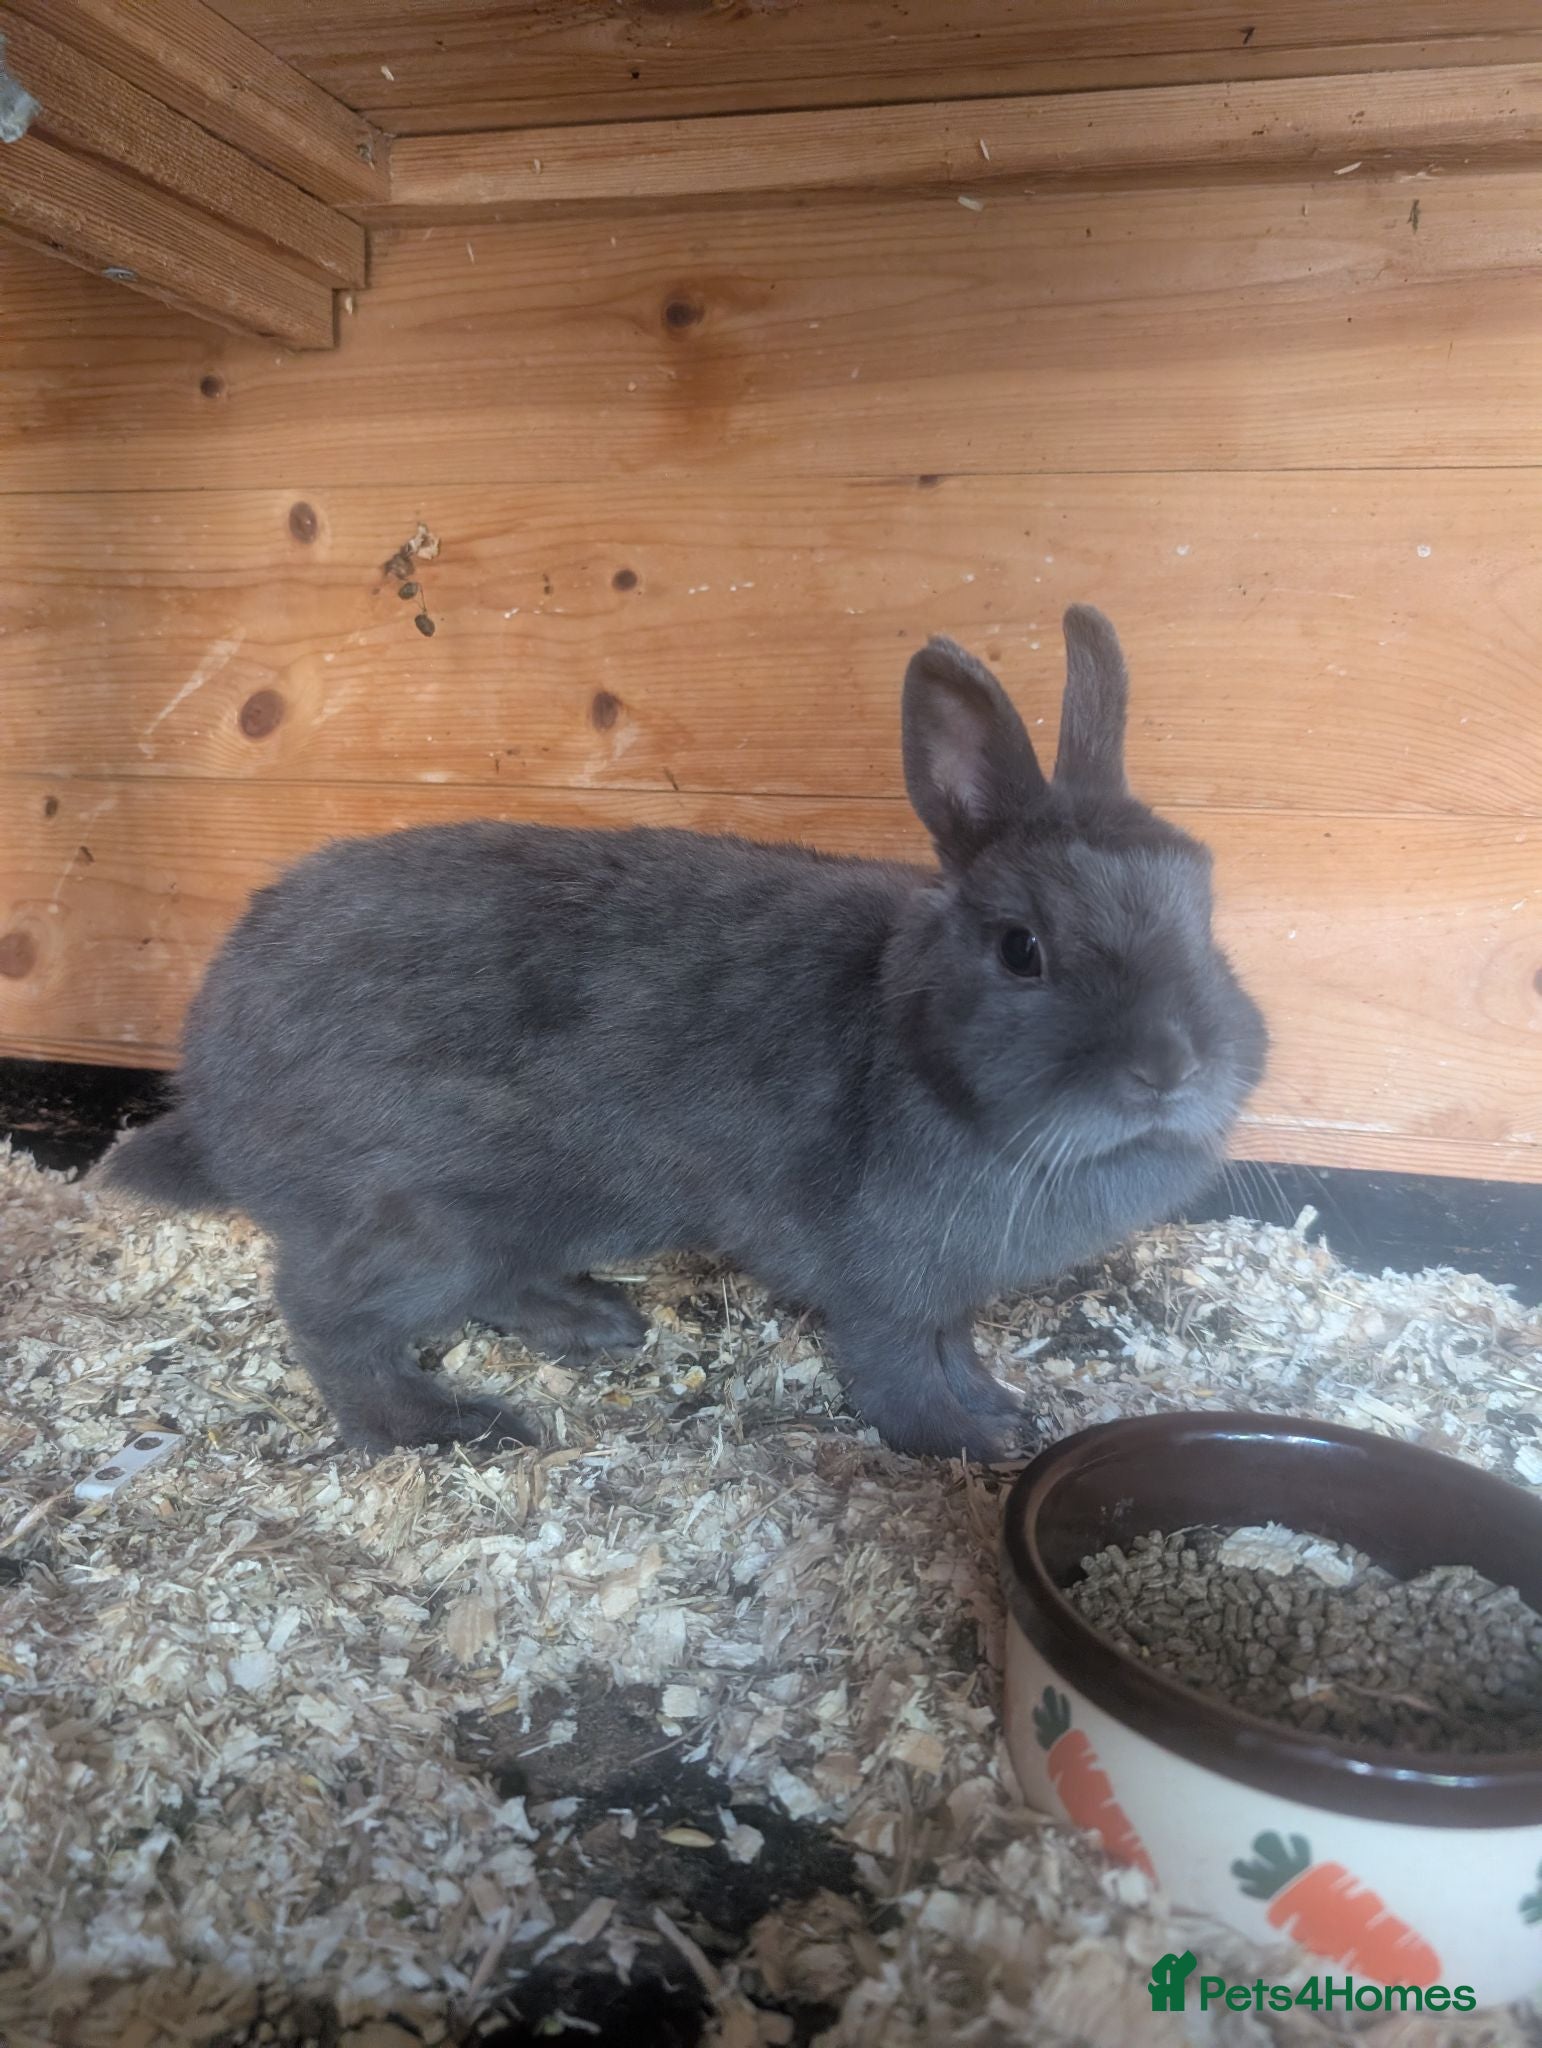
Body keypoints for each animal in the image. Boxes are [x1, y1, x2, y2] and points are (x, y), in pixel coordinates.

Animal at [101, 605, 1266, 1463]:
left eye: (1207, 908)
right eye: (1023, 948)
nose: (1172, 1066)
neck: (919, 1051)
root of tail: (211, 1078)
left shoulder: (943, 1295)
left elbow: (957, 1348)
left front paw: (1002, 1408)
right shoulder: (884, 1287)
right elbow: (900, 1370)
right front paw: (966, 1441)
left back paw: (596, 1325)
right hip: (425, 1218)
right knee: (324, 1311)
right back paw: (443, 1425)